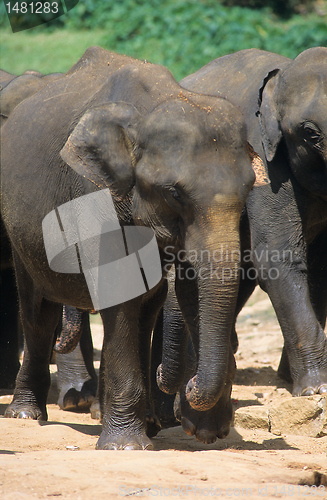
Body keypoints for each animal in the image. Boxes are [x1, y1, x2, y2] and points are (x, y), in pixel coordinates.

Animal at [0, 47, 256, 450]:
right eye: (174, 193)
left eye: (249, 189)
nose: (190, 386)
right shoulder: (94, 192)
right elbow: (119, 291)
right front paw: (126, 447)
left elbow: (185, 293)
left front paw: (203, 432)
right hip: (20, 230)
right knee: (38, 310)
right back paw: (26, 415)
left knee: (146, 309)